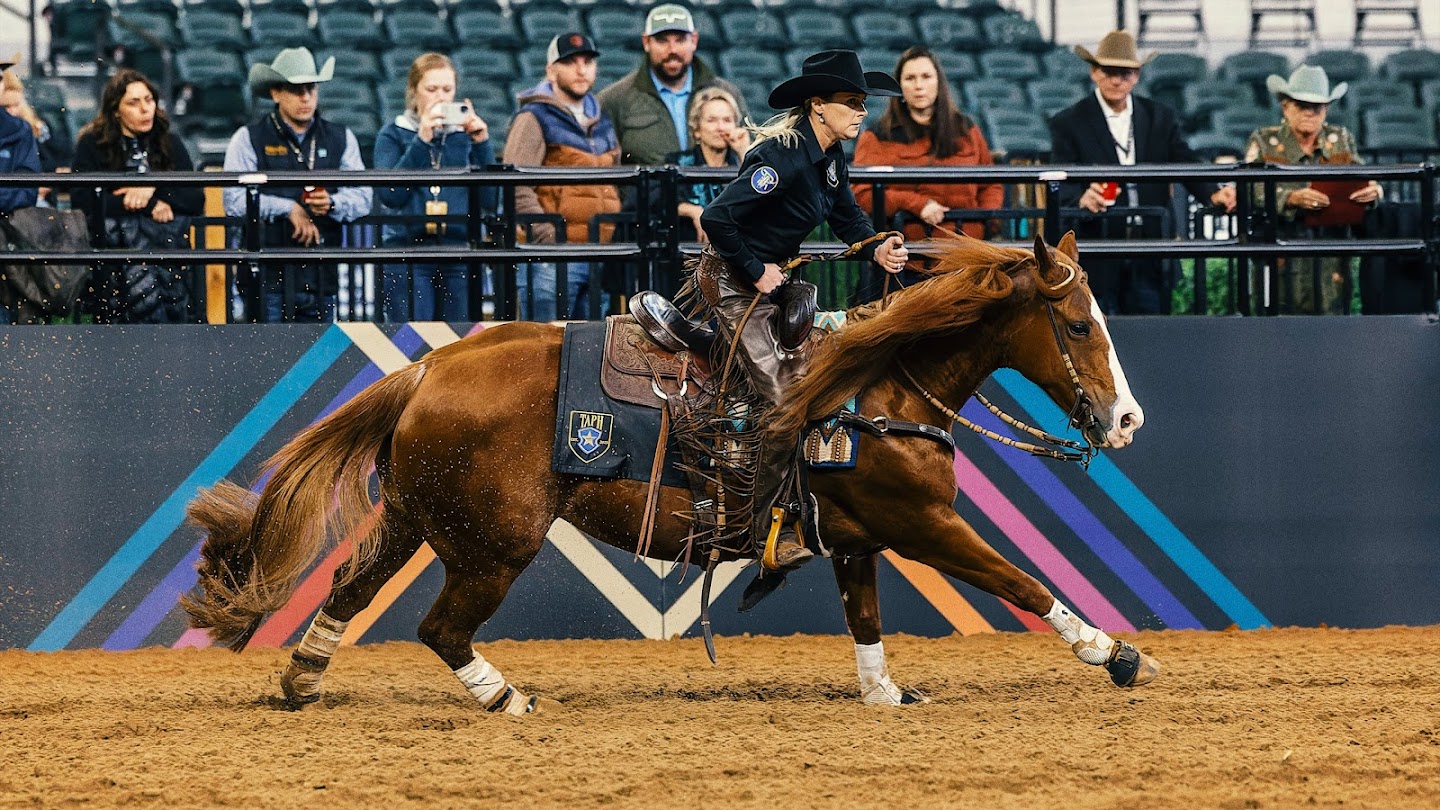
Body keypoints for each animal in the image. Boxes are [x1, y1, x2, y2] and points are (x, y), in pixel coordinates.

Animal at [182, 232, 1157, 711]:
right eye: (1077, 323)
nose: (1126, 419)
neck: (875, 385)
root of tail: (429, 368)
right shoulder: (923, 524)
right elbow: (1020, 582)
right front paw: (1118, 655)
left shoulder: (855, 539)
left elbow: (867, 618)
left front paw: (885, 693)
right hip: (493, 544)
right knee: (438, 627)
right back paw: (506, 699)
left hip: (415, 517)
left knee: (349, 585)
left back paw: (304, 680)